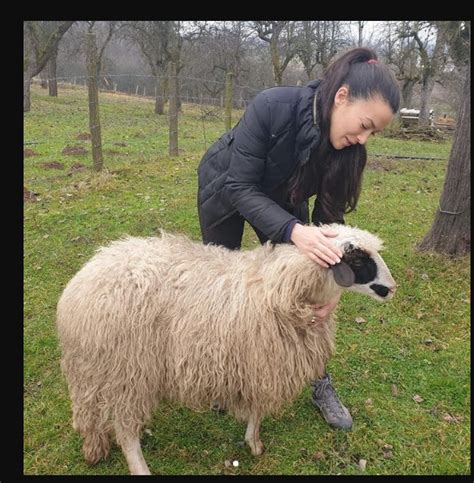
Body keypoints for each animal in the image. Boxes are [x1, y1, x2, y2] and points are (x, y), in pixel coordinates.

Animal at [55, 225, 396, 474]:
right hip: (129, 370)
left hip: (93, 370)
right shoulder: (262, 363)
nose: (392, 288)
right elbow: (257, 409)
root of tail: (78, 287)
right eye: (359, 261)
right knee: (126, 430)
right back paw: (139, 467)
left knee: (89, 413)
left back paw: (94, 448)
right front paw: (254, 443)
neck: (282, 287)